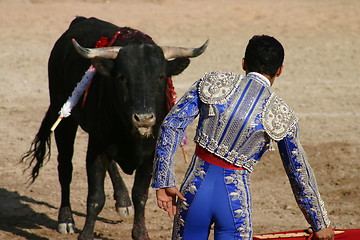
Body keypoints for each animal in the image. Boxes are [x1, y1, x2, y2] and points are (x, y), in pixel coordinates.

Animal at [21, 15, 208, 239]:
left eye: (161, 77)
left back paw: (122, 200)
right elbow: (95, 198)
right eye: (122, 78)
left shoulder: (149, 154)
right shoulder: (96, 151)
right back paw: (66, 219)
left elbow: (140, 195)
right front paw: (85, 234)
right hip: (64, 118)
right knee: (65, 167)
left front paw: (140, 233)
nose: (144, 118)